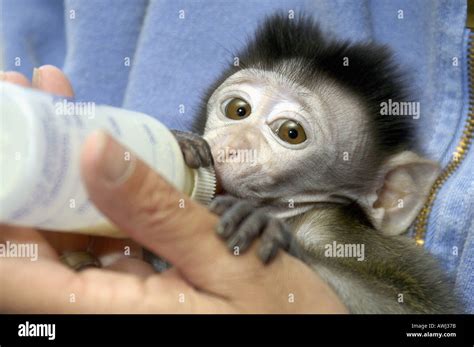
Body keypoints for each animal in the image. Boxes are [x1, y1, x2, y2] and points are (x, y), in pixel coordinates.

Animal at [168, 14, 460, 316]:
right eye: (238, 109)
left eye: (291, 133)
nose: (229, 147)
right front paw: (182, 144)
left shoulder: (339, 230)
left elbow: (407, 305)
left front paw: (267, 231)